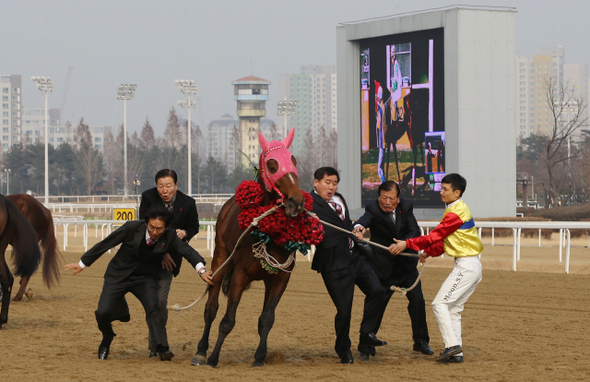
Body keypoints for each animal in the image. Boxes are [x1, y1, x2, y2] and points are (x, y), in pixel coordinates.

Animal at [193, 128, 306, 368]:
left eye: (294, 161)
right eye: (272, 165)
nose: (297, 202)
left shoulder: (280, 278)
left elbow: (267, 318)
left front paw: (260, 357)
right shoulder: (240, 274)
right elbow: (228, 320)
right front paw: (213, 358)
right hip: (221, 258)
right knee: (211, 308)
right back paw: (201, 352)